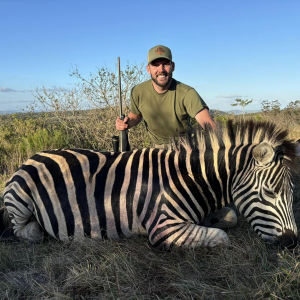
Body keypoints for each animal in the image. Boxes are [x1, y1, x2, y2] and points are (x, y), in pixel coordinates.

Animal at [0, 119, 300, 248]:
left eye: (290, 193)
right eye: (269, 193)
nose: (292, 242)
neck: (190, 179)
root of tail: (34, 155)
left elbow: (230, 218)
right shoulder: (164, 227)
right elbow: (221, 237)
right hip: (21, 202)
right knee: (24, 230)